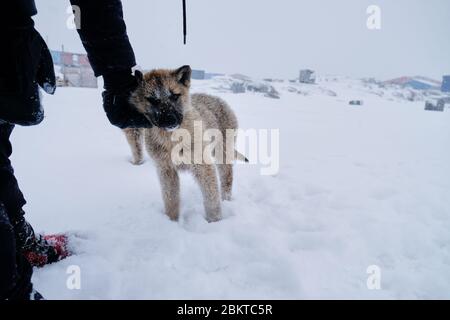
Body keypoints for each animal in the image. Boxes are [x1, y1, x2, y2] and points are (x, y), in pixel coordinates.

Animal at [125, 65, 246, 222]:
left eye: (175, 96)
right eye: (153, 100)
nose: (170, 120)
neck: (172, 139)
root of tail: (217, 98)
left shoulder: (203, 166)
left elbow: (211, 200)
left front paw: (215, 222)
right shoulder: (166, 170)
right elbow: (171, 200)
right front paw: (171, 222)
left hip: (222, 155)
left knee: (227, 178)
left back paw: (226, 199)